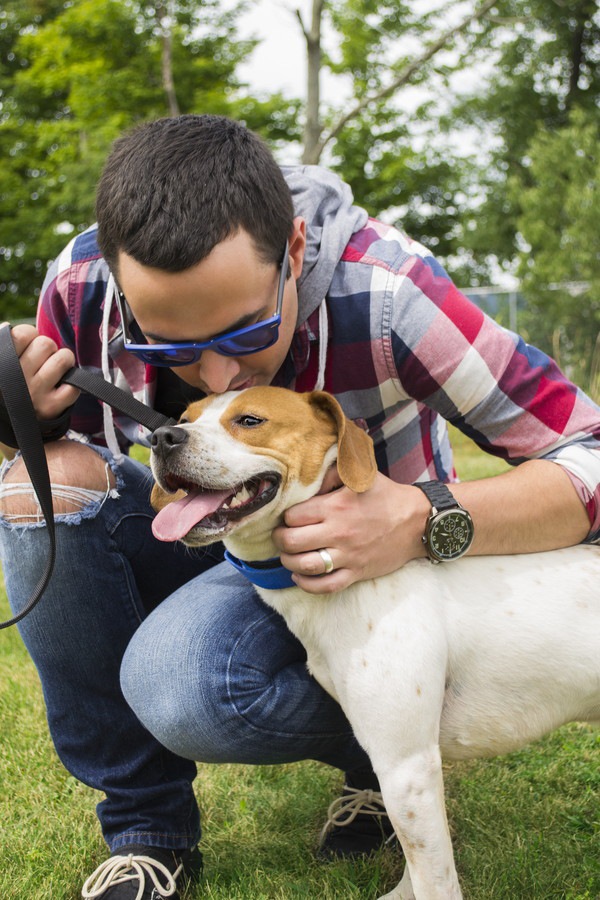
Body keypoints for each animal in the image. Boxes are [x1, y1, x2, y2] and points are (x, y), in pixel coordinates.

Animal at [149, 388, 600, 900]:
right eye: (183, 417)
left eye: (249, 420)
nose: (162, 437)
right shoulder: (403, 769)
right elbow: (414, 865)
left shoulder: (407, 766)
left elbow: (435, 879)